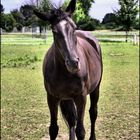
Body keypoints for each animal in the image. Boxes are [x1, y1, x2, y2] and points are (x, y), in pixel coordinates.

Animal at [33, 0, 102, 139]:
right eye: (54, 31)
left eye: (74, 27)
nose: (73, 63)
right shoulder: (52, 98)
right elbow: (53, 129)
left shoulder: (81, 97)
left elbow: (80, 131)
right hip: (67, 98)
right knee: (71, 120)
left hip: (96, 89)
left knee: (93, 113)